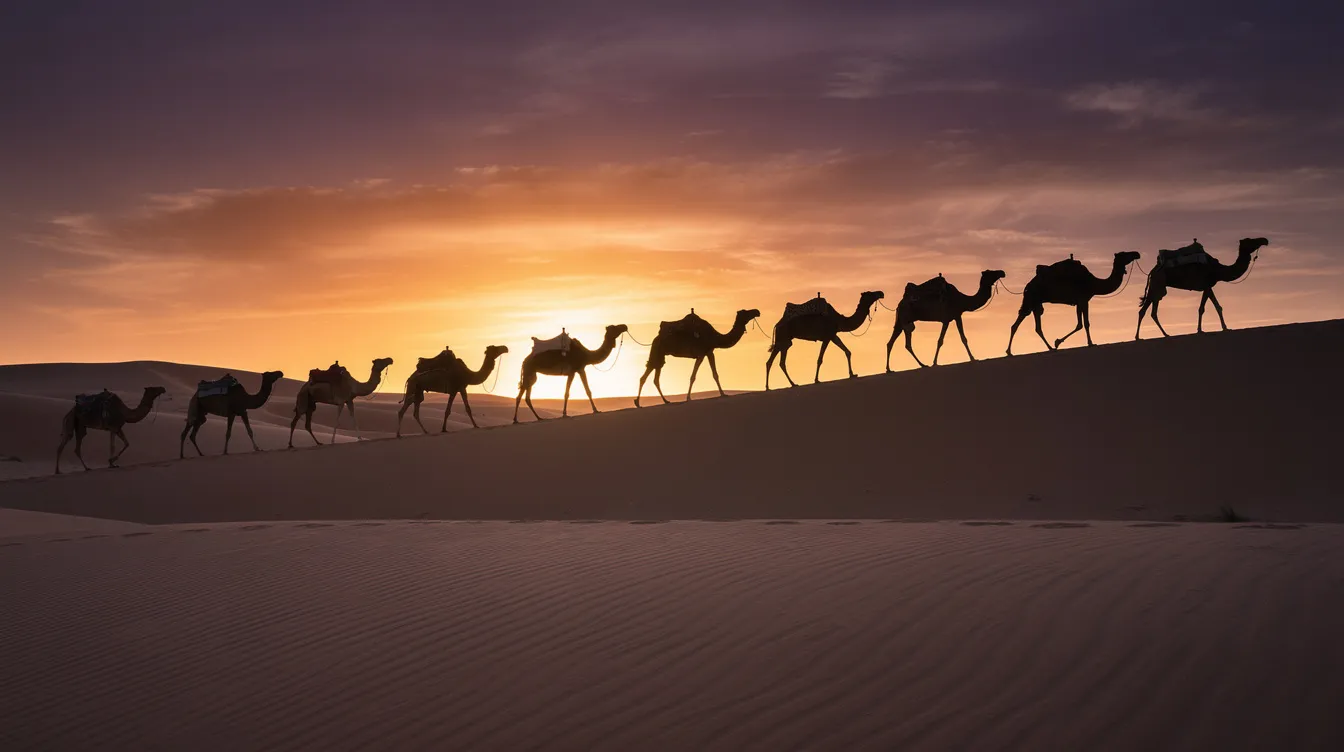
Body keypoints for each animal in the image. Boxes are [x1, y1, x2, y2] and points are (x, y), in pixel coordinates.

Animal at [1005, 251, 1142, 355]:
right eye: (1124, 254)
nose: (1137, 253)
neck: (1093, 283)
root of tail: (1027, 287)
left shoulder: (1079, 302)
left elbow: (1079, 324)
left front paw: (1057, 342)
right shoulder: (1083, 299)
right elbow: (1085, 324)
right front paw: (1090, 343)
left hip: (1035, 303)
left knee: (1032, 326)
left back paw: (1046, 348)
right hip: (1031, 299)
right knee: (1021, 324)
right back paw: (1012, 351)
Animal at [1136, 237, 1269, 339]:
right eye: (1250, 240)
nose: (1265, 240)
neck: (1218, 270)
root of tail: (1152, 271)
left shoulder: (1207, 287)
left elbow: (1206, 308)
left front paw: (1203, 329)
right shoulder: (1207, 285)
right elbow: (1213, 307)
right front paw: (1222, 328)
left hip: (1156, 287)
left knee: (1150, 312)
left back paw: (1162, 334)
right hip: (1157, 284)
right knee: (1147, 310)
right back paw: (1142, 336)